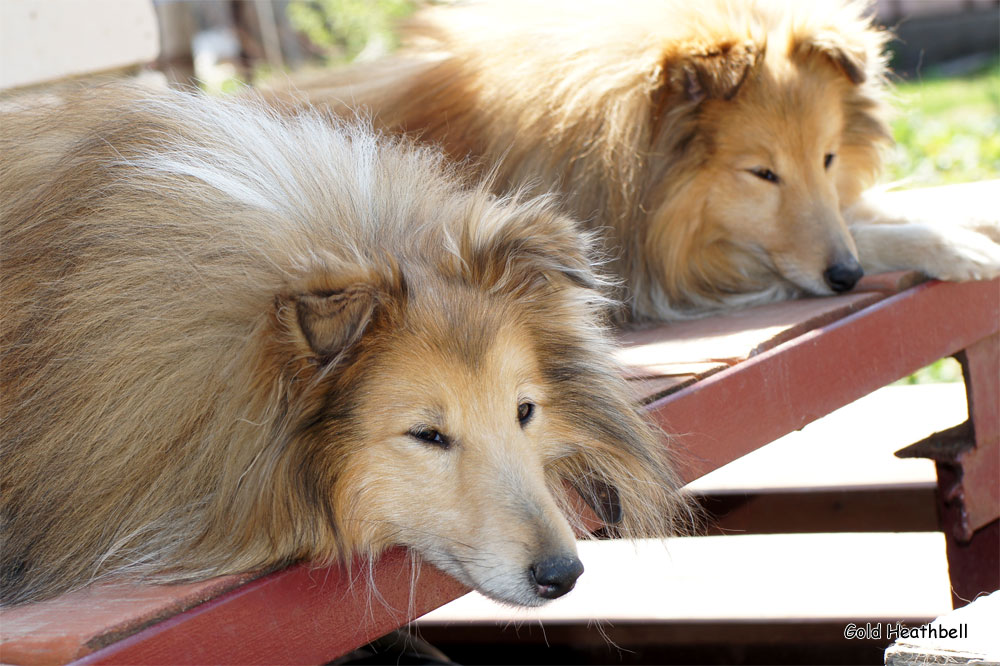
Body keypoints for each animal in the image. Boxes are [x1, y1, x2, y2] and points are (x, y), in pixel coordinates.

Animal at [272, 0, 1000, 322]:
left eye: (827, 158)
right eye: (762, 173)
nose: (844, 277)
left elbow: (888, 208)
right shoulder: (671, 268)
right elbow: (869, 233)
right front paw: (962, 248)